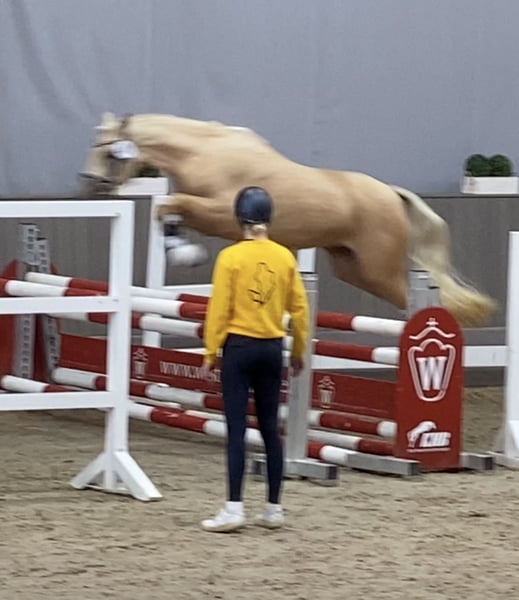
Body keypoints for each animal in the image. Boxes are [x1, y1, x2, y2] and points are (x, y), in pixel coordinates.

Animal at [79, 112, 496, 326]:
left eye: (106, 149)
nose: (89, 184)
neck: (205, 152)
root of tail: (392, 194)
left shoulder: (218, 214)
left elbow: (169, 205)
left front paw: (184, 253)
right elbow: (167, 211)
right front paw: (181, 248)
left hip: (378, 269)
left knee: (426, 299)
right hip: (352, 266)